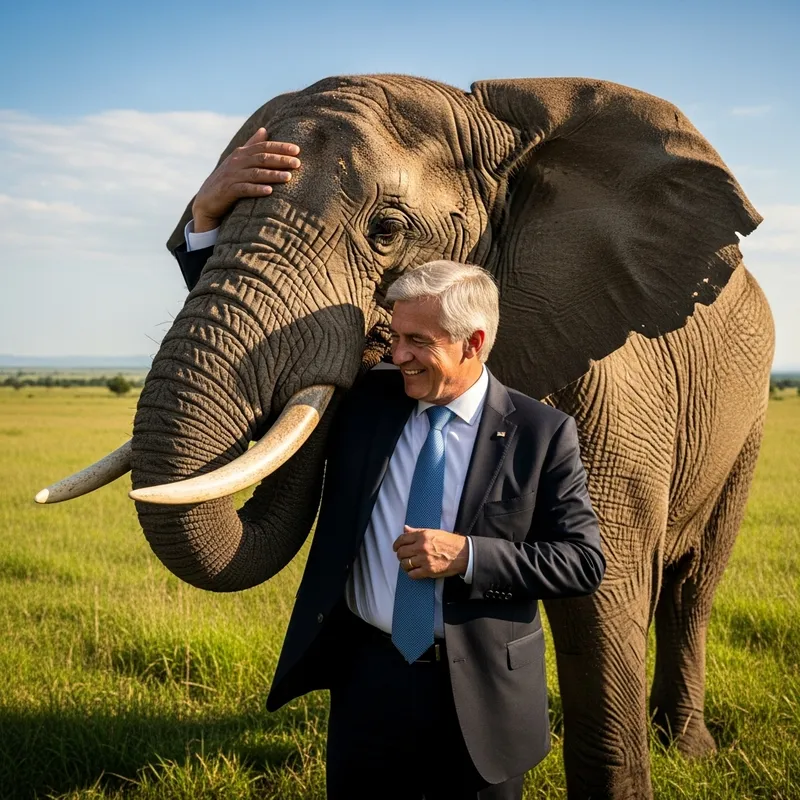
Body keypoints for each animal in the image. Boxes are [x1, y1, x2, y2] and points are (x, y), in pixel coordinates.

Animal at [40, 76, 774, 799]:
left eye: (387, 231)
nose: (361, 346)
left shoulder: (614, 394)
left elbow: (604, 589)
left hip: (751, 417)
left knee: (692, 586)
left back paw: (687, 746)